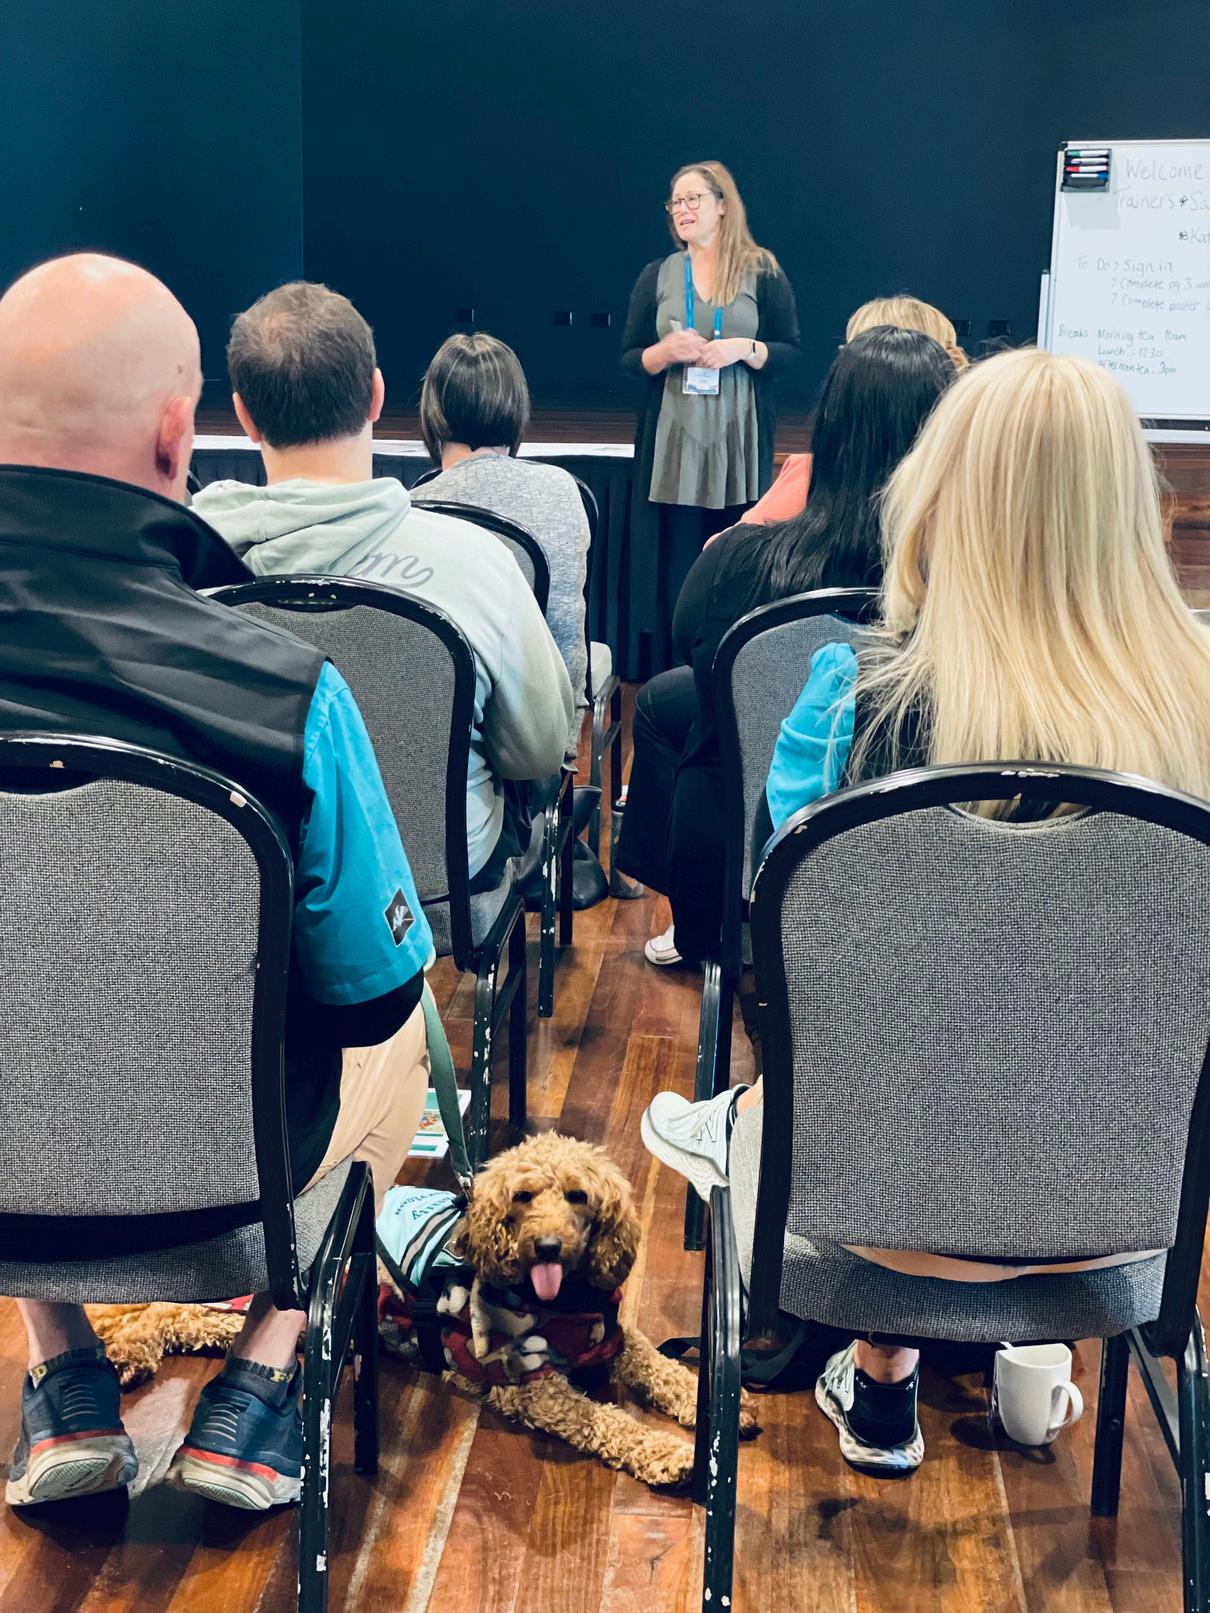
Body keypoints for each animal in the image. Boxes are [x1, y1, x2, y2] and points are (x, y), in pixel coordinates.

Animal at [377, 1131, 758, 1488]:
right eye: (523, 1196)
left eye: (577, 1195)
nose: (548, 1246)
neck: (569, 1300)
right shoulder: (538, 1388)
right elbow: (611, 1421)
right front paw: (668, 1455)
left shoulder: (614, 1338)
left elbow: (662, 1367)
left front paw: (719, 1406)